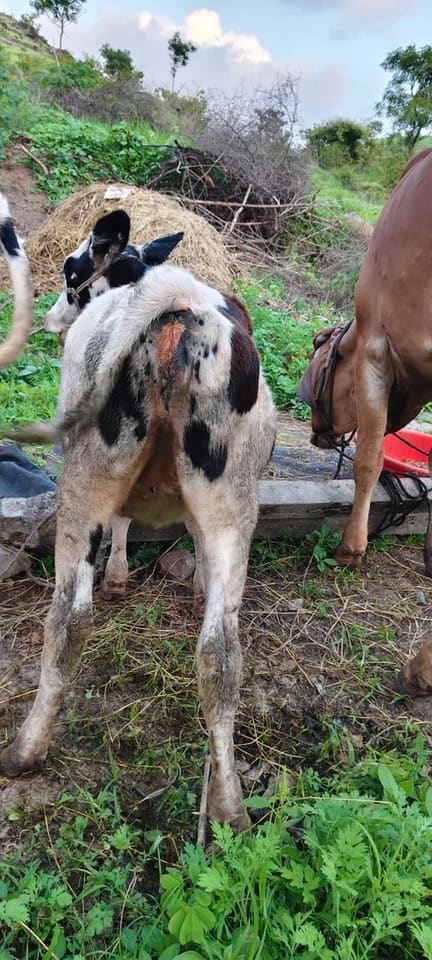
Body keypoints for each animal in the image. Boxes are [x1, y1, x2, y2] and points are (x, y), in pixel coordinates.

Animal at [1, 228, 277, 831]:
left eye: (72, 275)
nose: (53, 318)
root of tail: (182, 306)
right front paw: (188, 584)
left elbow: (123, 524)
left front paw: (119, 574)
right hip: (234, 501)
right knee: (220, 653)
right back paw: (228, 808)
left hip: (84, 477)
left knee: (69, 621)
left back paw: (25, 750)